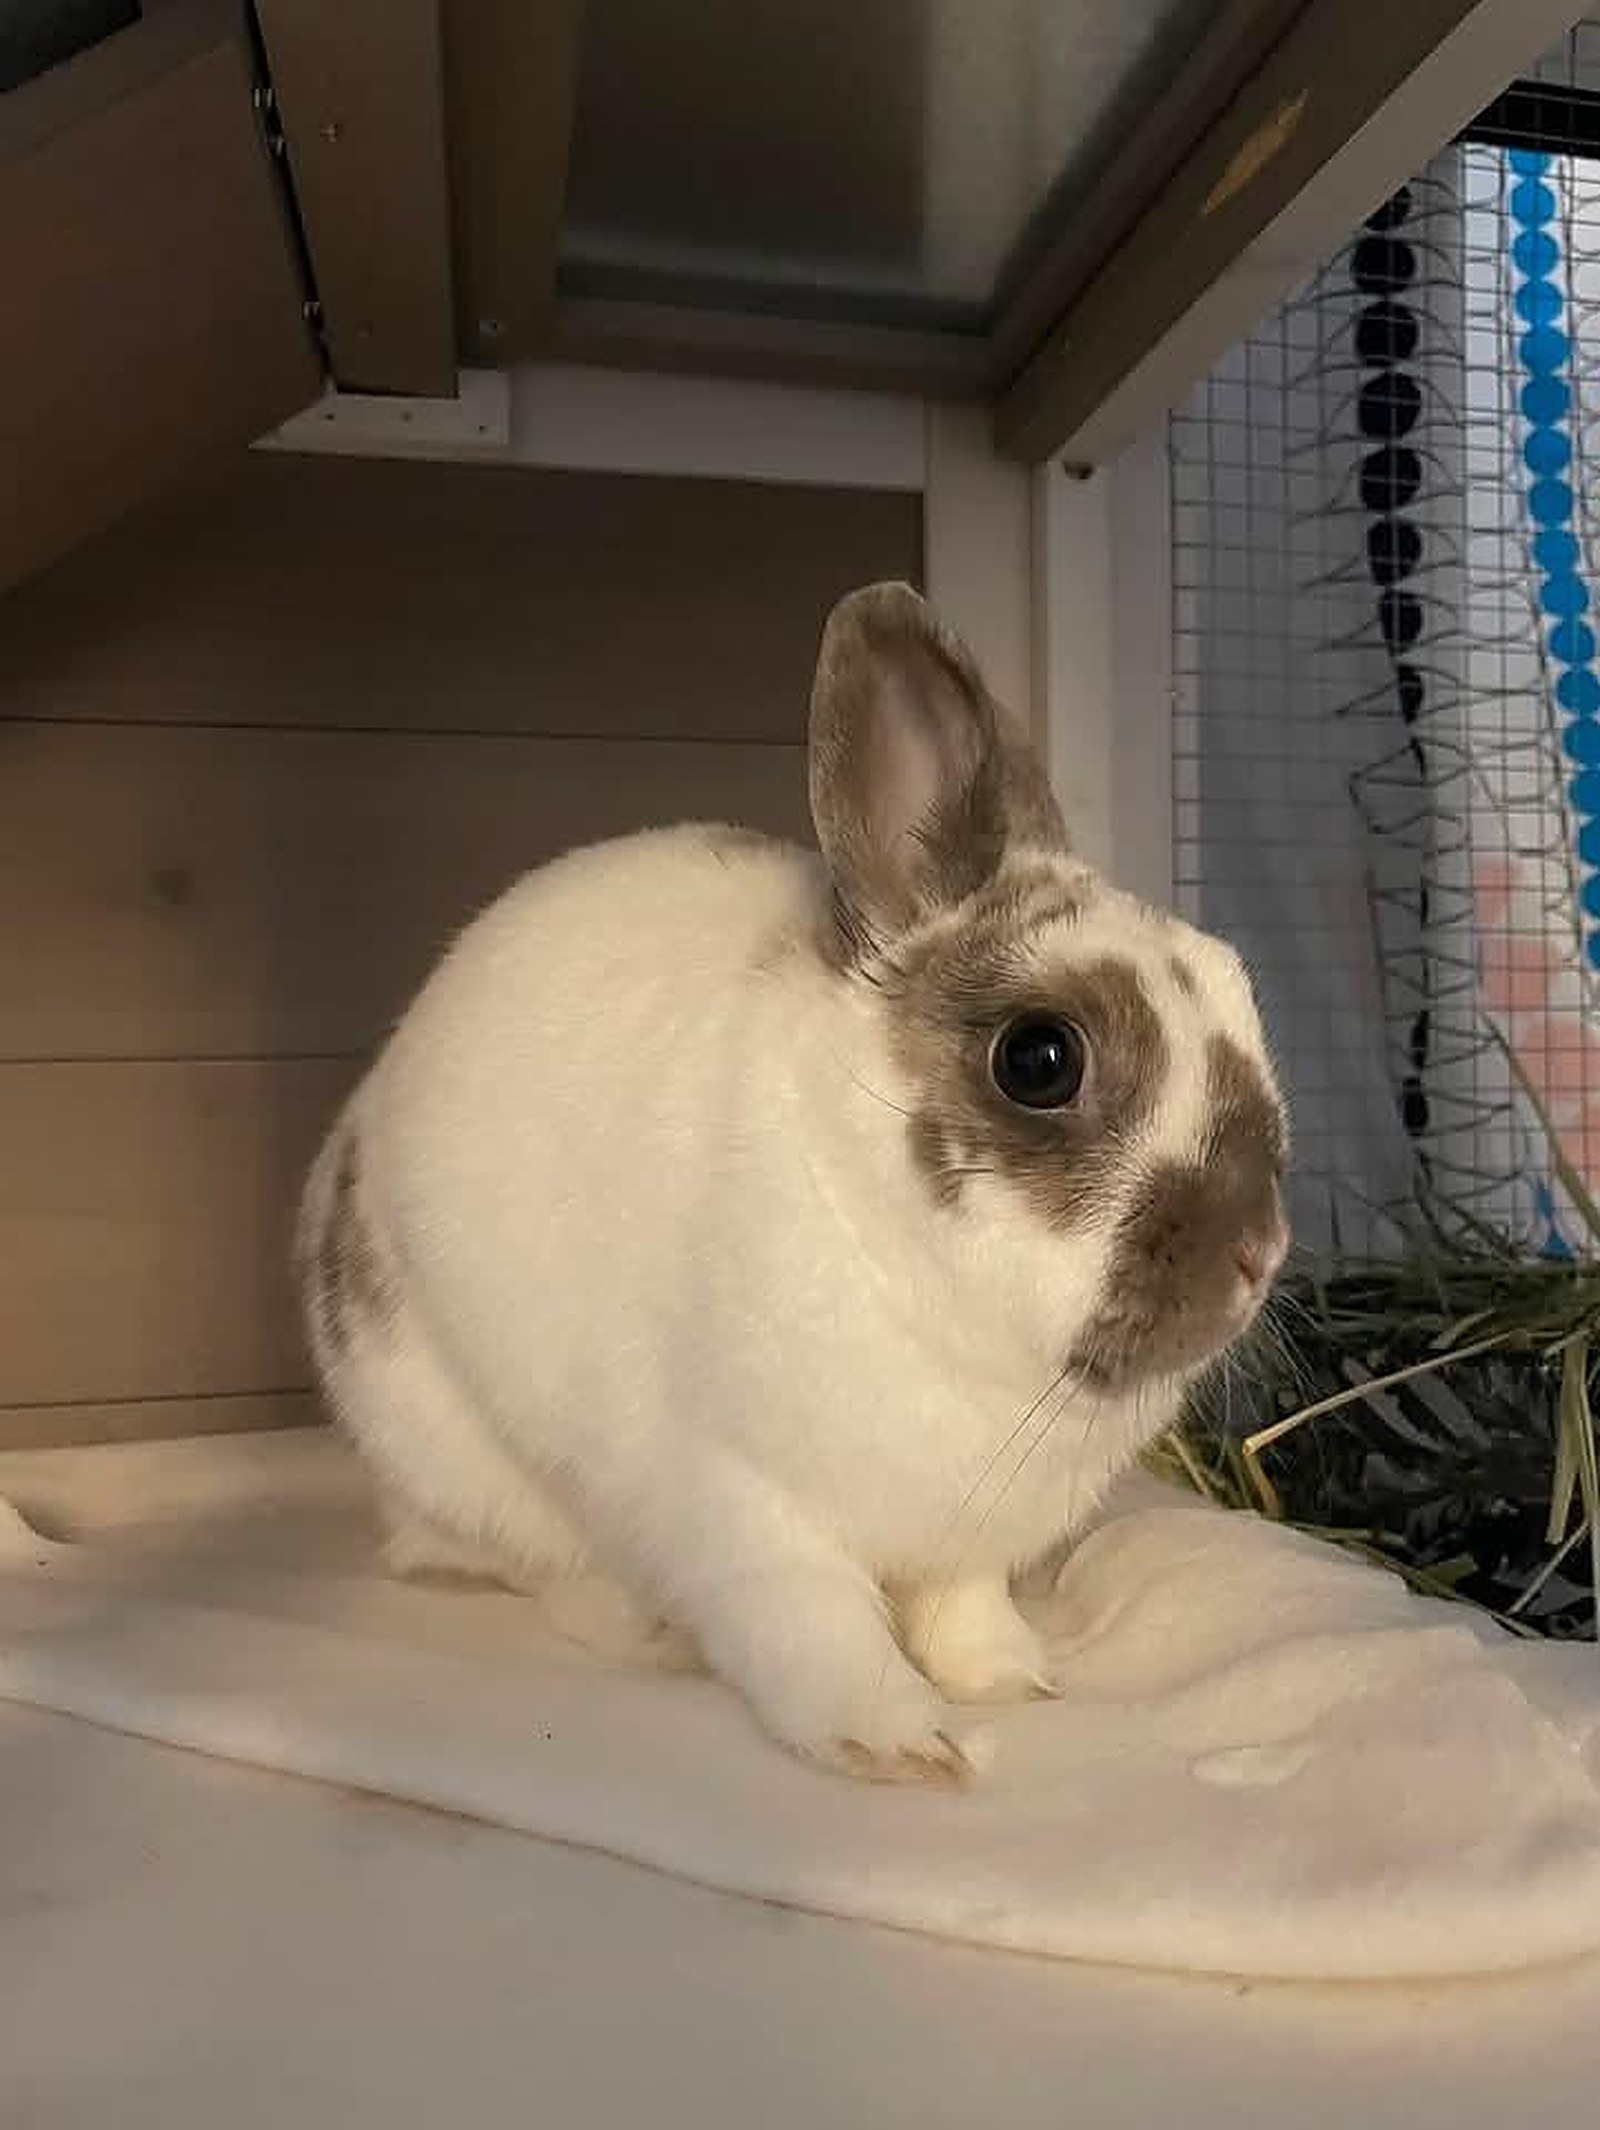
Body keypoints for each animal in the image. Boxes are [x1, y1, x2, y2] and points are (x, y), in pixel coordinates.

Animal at [297, 581, 1289, 1784]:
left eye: (1240, 988)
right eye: (1039, 1059)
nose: (1258, 1251)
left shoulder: (965, 1542)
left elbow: (962, 1612)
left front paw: (1011, 1679)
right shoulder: (739, 1503)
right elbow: (815, 1628)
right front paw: (905, 1748)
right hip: (461, 1449)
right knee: (536, 1565)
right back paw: (646, 1631)